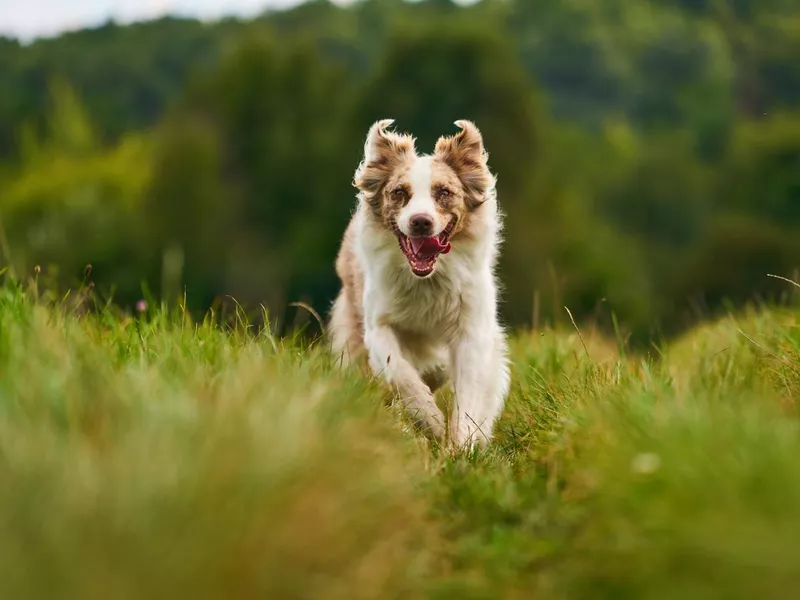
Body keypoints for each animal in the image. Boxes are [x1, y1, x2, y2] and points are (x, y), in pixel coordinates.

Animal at [326, 119, 510, 448]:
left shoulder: (471, 329)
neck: (427, 280)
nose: (421, 222)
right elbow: (399, 371)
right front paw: (431, 420)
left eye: (444, 192)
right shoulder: (378, 325)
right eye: (400, 192)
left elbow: (469, 392)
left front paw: (461, 446)